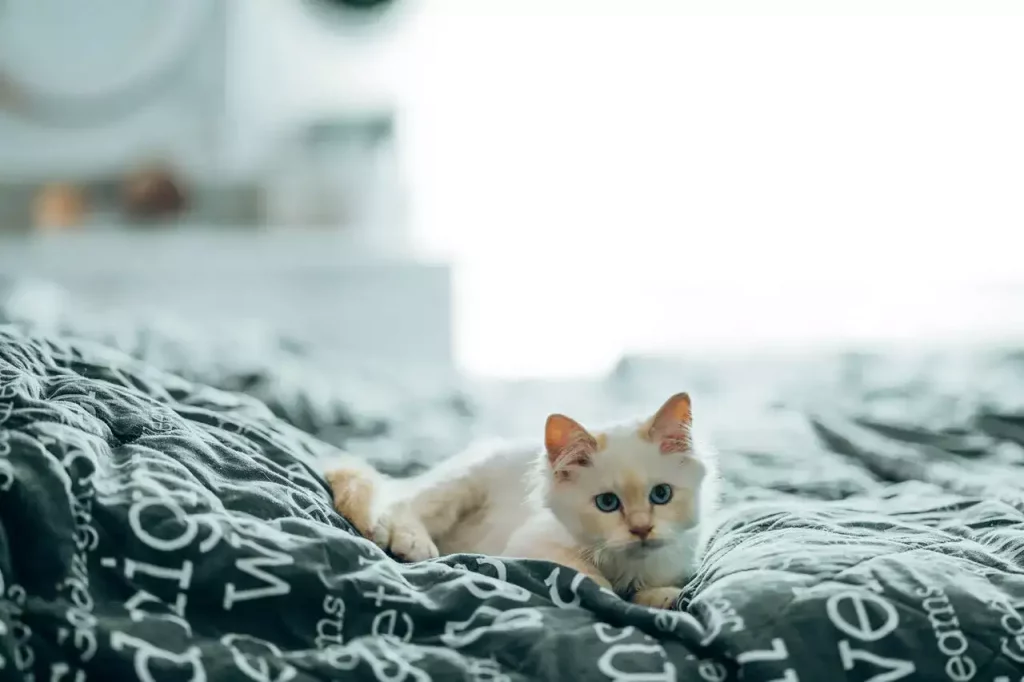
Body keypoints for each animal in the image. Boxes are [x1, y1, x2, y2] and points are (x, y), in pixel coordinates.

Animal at [327, 391, 720, 606]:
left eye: (661, 495)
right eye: (607, 503)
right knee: (399, 506)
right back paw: (411, 543)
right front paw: (608, 590)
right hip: (461, 483)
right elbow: (589, 577)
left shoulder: (679, 560)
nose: (641, 530)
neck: (628, 566)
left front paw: (659, 598)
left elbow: (668, 588)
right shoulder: (530, 546)